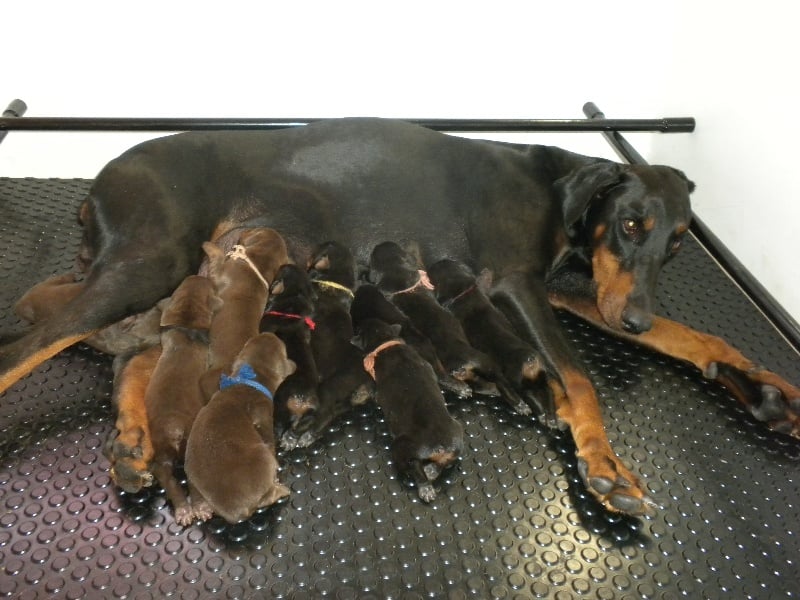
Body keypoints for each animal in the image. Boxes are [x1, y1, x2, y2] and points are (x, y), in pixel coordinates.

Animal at [185, 330, 296, 524]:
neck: (247, 382)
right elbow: (268, 437)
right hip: (263, 459)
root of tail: (235, 511)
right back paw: (281, 489)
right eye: (282, 346)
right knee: (266, 496)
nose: (268, 332)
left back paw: (200, 508)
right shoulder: (263, 414)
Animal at [352, 316, 462, 504]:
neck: (386, 340)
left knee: (414, 466)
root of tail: (440, 446)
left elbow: (366, 388)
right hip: (456, 438)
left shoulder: (375, 385)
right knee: (445, 463)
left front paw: (356, 397)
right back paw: (432, 470)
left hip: (401, 446)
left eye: (360, 328)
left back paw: (425, 486)